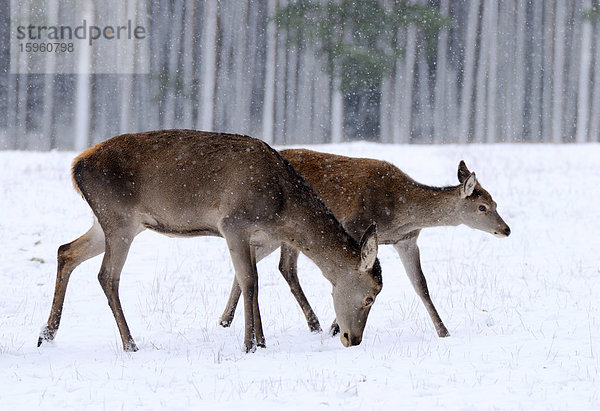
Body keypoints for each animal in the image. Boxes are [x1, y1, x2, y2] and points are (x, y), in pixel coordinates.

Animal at [37, 132, 382, 354]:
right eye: (370, 297)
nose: (353, 339)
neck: (282, 208)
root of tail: (75, 167)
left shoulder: (256, 236)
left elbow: (250, 281)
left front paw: (261, 340)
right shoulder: (233, 224)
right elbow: (250, 281)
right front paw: (249, 345)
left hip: (109, 222)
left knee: (66, 251)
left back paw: (47, 334)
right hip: (119, 218)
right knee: (107, 275)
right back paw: (130, 343)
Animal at [220, 150, 510, 340]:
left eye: (496, 202)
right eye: (482, 207)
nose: (506, 229)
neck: (399, 214)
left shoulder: (407, 241)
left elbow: (421, 285)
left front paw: (443, 330)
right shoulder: (354, 227)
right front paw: (336, 326)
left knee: (271, 265)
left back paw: (227, 320)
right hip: (274, 230)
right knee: (278, 266)